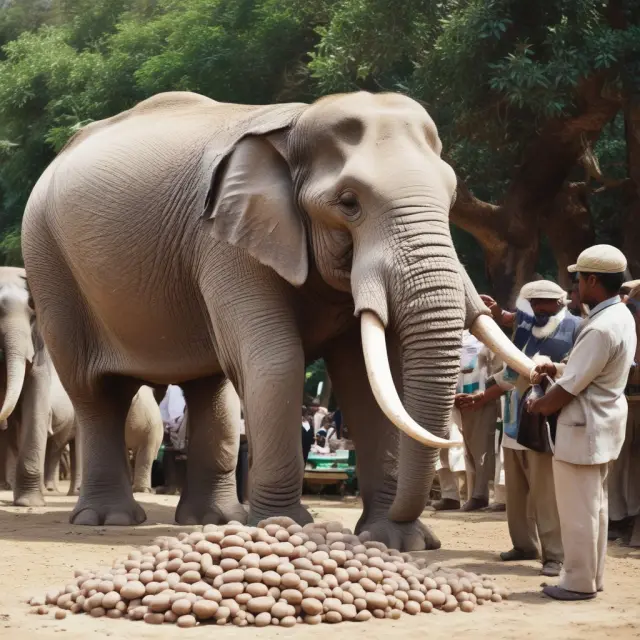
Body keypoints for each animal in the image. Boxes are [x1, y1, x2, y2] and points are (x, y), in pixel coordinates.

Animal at [22, 91, 534, 548]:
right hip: (49, 264)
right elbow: (276, 360)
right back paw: (108, 519)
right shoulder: (223, 242)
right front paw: (285, 530)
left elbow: (370, 379)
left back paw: (213, 520)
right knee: (95, 392)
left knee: (209, 389)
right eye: (349, 202)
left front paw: (397, 542)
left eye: (450, 199)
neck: (296, 126)